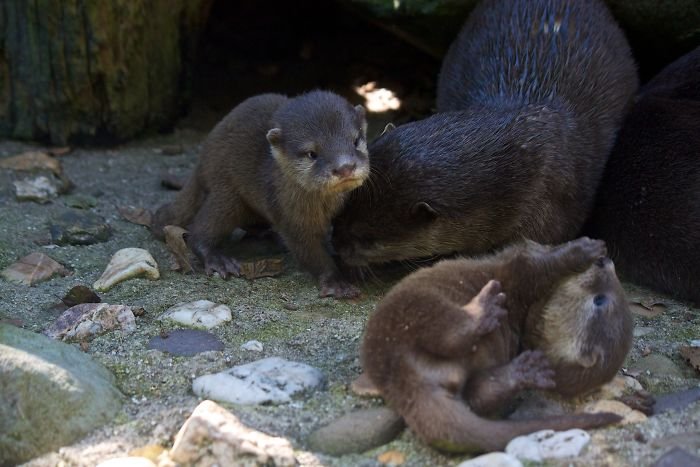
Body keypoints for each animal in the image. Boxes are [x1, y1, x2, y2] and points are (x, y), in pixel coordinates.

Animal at [154, 89, 370, 298]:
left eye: (356, 141)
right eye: (312, 153)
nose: (345, 167)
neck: (326, 205)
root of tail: (203, 160)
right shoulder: (291, 217)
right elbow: (311, 253)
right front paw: (337, 283)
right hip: (227, 193)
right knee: (201, 230)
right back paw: (217, 259)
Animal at [360, 238, 636, 454]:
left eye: (600, 301)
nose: (605, 262)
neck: (527, 317)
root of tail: (395, 374)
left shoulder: (518, 274)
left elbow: (537, 268)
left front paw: (581, 249)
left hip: (409, 310)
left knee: (450, 335)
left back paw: (486, 313)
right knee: (479, 393)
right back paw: (525, 370)